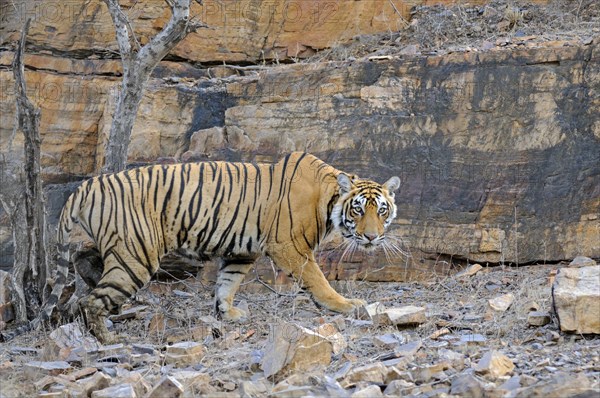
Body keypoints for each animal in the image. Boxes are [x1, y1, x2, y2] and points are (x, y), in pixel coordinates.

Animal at [9, 152, 400, 342]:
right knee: (92, 299)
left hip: (113, 249)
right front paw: (345, 305)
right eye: (358, 210)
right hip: (136, 255)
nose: (371, 237)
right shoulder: (289, 246)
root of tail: (84, 186)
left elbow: (227, 283)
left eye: (381, 210)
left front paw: (227, 314)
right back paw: (106, 339)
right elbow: (318, 280)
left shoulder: (242, 251)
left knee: (85, 270)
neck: (328, 198)